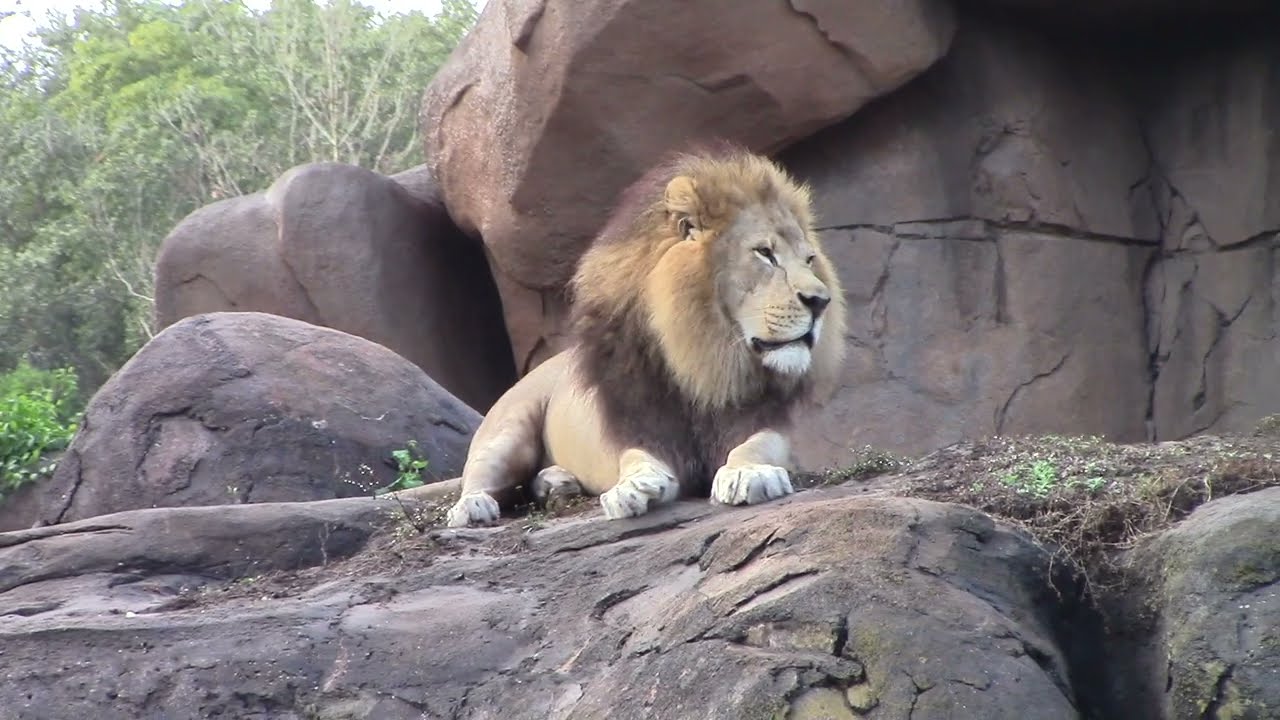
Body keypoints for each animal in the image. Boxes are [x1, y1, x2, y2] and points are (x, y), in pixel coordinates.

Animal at [437, 143, 846, 527]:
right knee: (478, 478)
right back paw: (474, 506)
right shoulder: (640, 425)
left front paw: (748, 473)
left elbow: (755, 445)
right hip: (508, 430)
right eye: (764, 253)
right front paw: (634, 487)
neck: (702, 360)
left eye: (809, 260)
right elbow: (635, 458)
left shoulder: (768, 421)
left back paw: (557, 483)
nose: (820, 301)